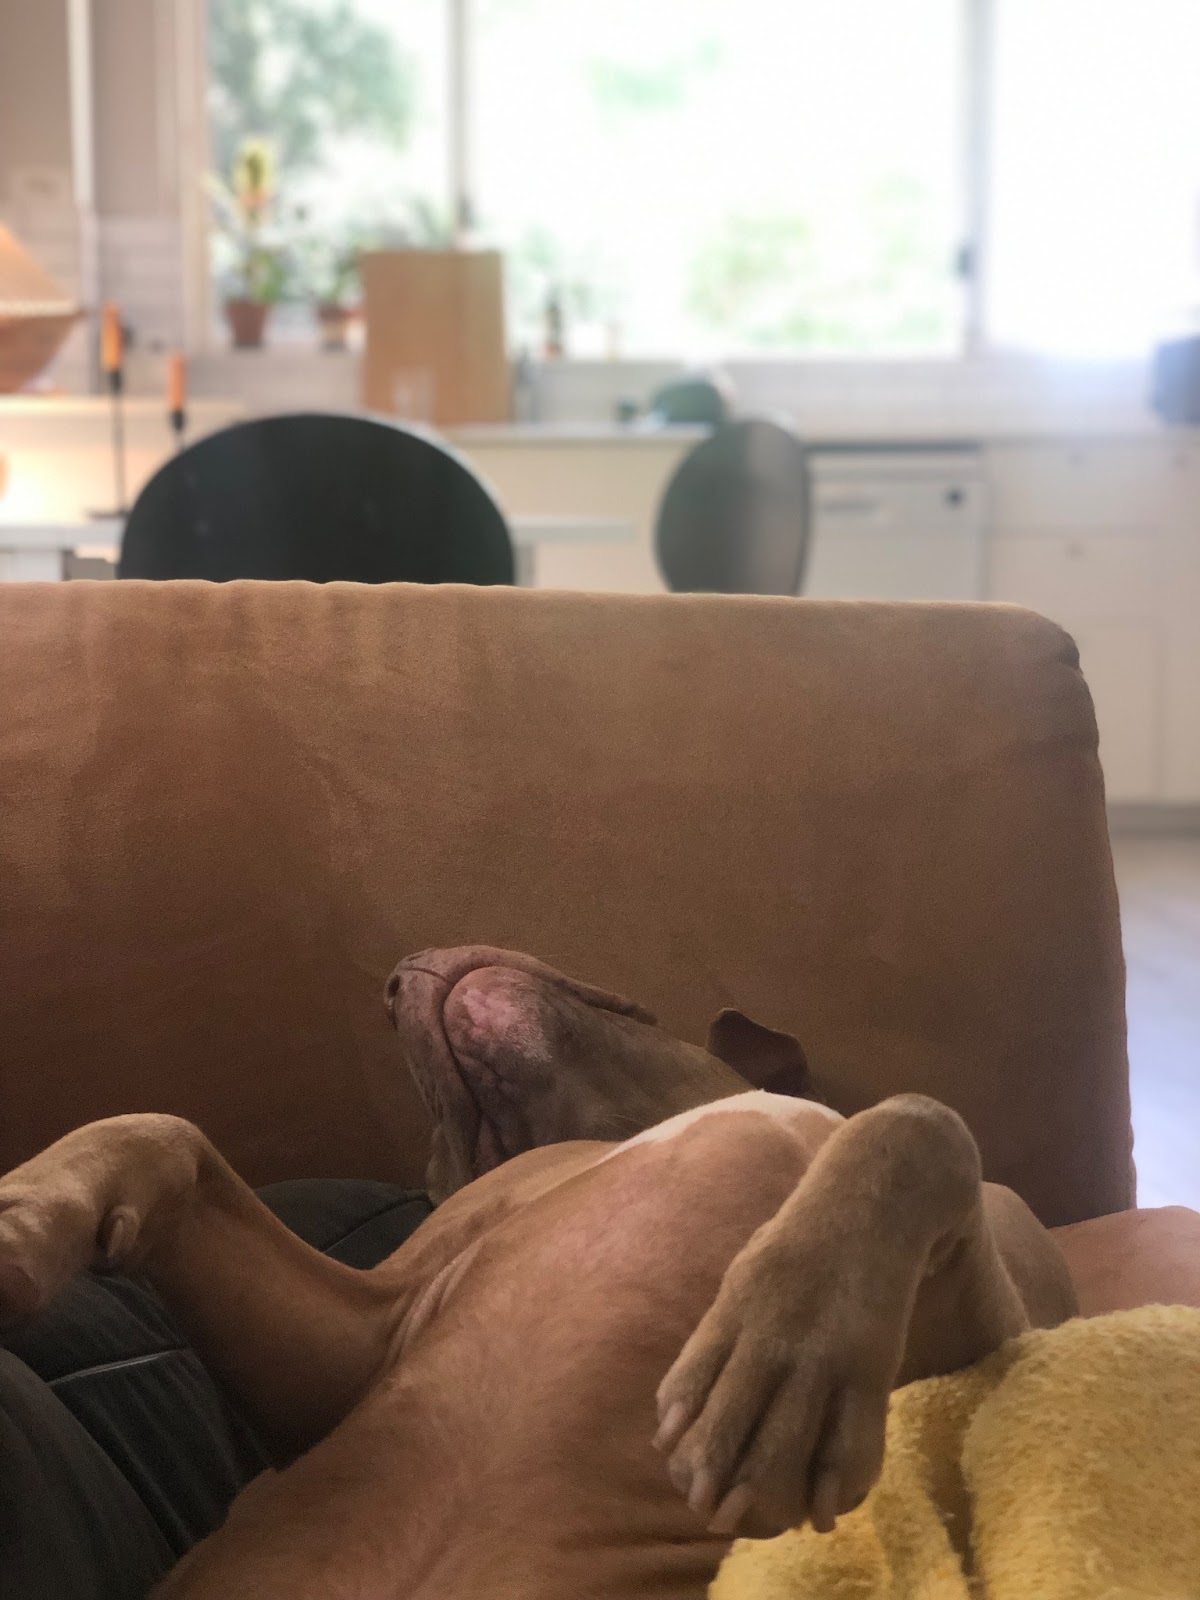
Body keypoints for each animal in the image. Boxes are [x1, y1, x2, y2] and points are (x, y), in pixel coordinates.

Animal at [0, 940, 1068, 1593]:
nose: (396, 976)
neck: (612, 1130)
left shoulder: (981, 1345)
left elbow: (919, 1121)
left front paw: (781, 1360)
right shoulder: (348, 1353)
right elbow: (160, 1128)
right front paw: (21, 1215)